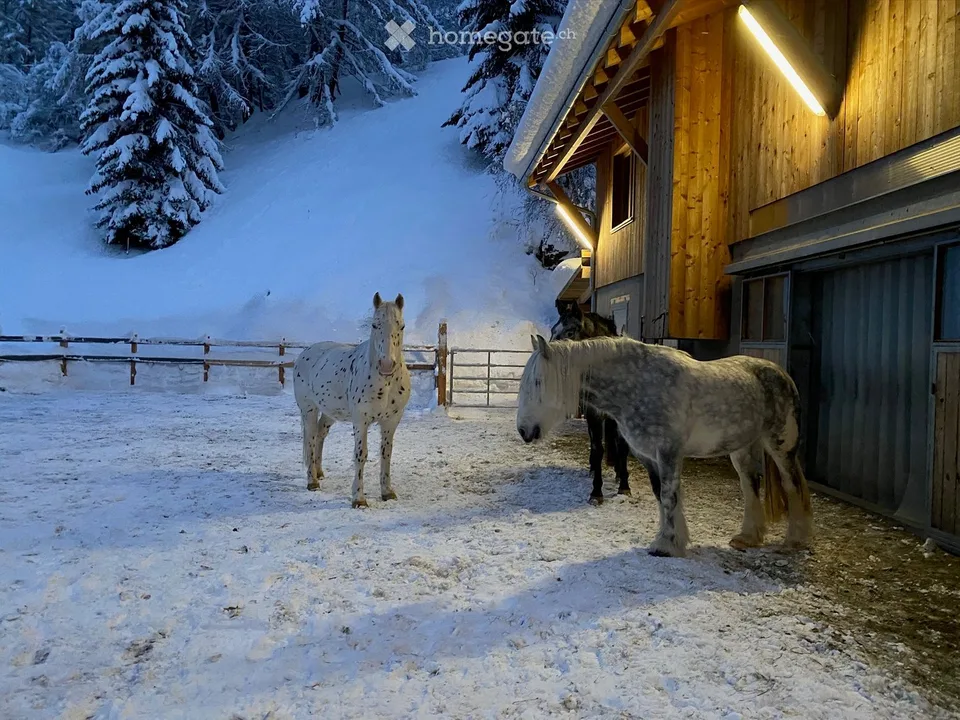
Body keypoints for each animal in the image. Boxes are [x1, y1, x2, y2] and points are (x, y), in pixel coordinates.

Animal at [293, 293, 411, 508]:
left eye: (402, 326)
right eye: (374, 325)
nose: (386, 365)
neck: (385, 384)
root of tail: (305, 353)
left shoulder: (391, 421)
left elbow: (386, 454)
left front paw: (387, 492)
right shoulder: (361, 421)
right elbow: (360, 455)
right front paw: (359, 498)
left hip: (330, 413)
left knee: (320, 434)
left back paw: (319, 472)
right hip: (308, 410)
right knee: (311, 439)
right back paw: (312, 480)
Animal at [516, 335, 812, 558]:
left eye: (539, 382)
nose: (523, 431)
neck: (639, 386)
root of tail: (781, 373)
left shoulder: (669, 452)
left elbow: (670, 496)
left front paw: (665, 546)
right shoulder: (648, 456)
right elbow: (661, 495)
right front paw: (673, 539)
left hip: (780, 444)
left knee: (792, 485)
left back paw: (794, 541)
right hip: (742, 448)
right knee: (750, 485)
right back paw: (748, 537)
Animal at [550, 300, 631, 504]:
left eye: (570, 332)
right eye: (553, 330)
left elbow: (622, 447)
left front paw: (624, 486)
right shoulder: (593, 414)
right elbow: (598, 448)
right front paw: (596, 492)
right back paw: (594, 469)